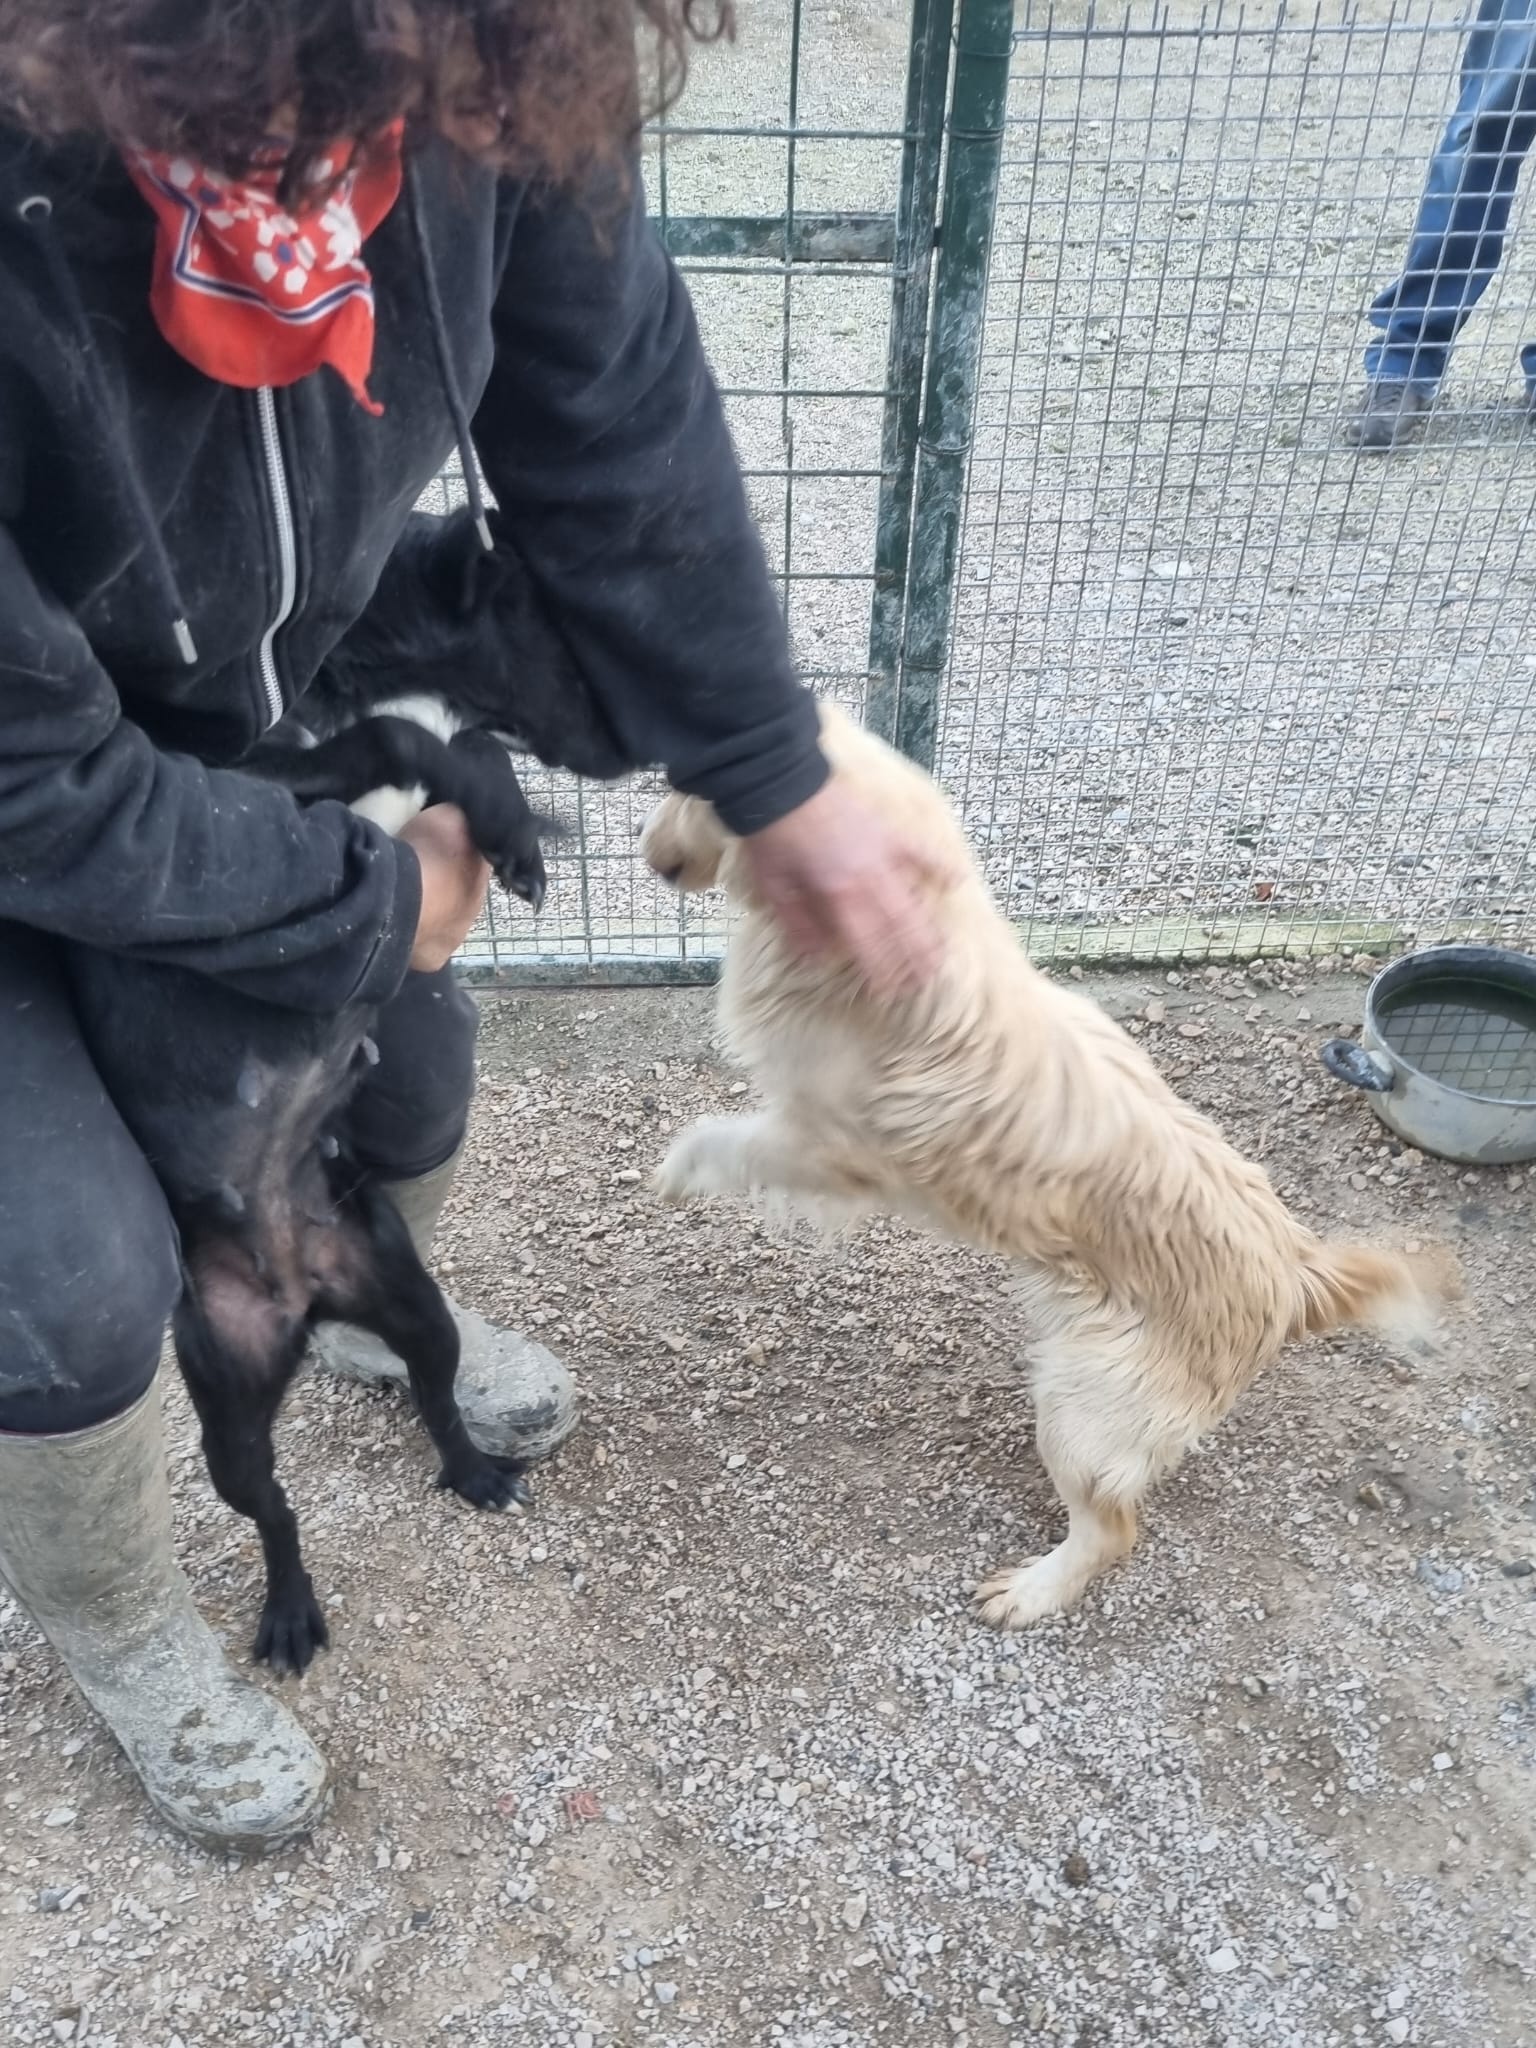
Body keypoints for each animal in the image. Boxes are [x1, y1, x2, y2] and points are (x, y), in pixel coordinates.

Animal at [640, 704, 1455, 1628]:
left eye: (684, 784)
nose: (646, 849)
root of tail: (1295, 1271)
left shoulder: (831, 1144)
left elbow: (724, 1138)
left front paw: (677, 1170)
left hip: (1082, 1401)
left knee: (1113, 1530)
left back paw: (1032, 1592)